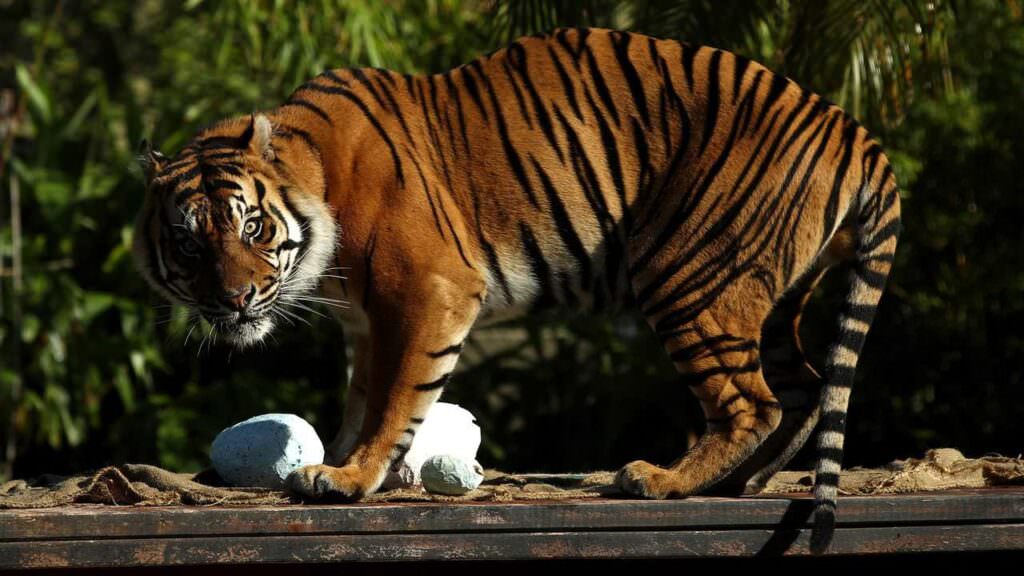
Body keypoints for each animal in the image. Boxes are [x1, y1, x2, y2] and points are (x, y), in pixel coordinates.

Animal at [133, 27, 900, 554]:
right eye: (190, 243)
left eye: (252, 225)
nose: (235, 300)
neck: (319, 179)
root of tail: (850, 128)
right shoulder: (367, 323)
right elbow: (359, 400)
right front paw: (336, 461)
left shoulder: (427, 292)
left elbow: (395, 401)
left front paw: (353, 478)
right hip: (773, 295)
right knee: (803, 388)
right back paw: (742, 485)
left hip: (690, 274)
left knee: (753, 402)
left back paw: (663, 480)